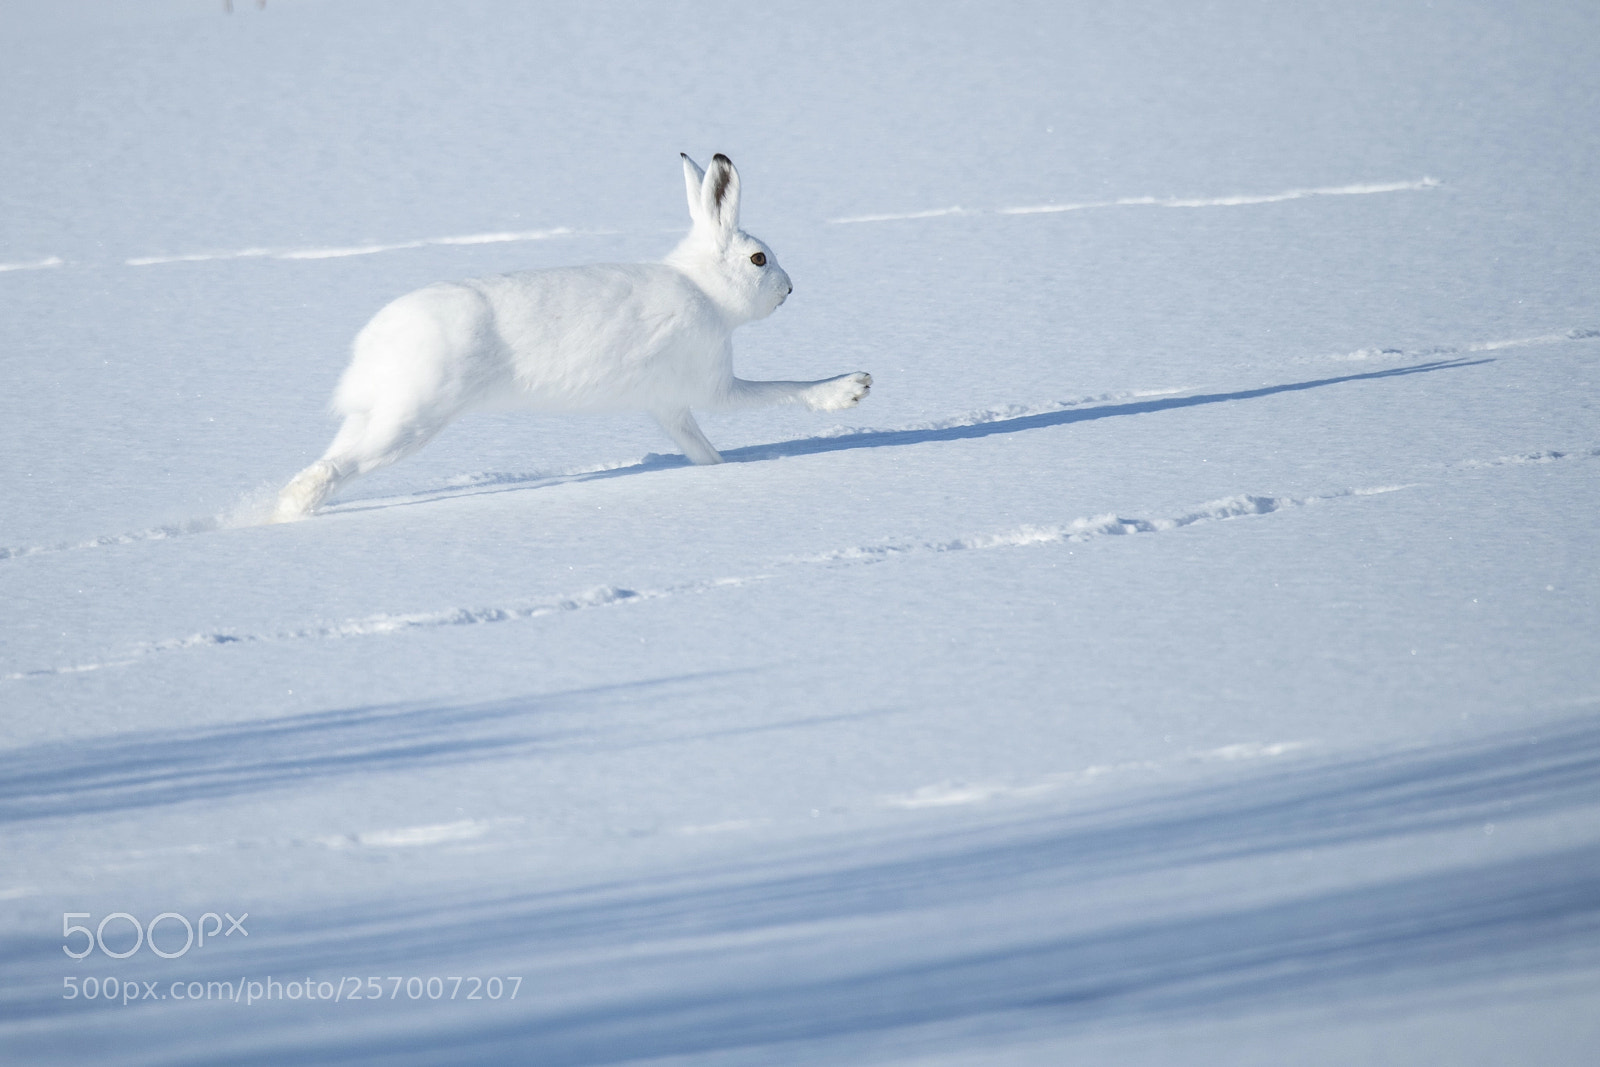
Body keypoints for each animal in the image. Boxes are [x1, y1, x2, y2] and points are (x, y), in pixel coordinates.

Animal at [270, 152, 871, 522]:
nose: (789, 289)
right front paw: (851, 388)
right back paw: (290, 512)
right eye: (758, 259)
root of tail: (372, 347)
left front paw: (721, 471)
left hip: (380, 413)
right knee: (335, 467)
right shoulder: (710, 384)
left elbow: (699, 448)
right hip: (417, 412)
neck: (704, 290)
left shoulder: (669, 406)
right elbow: (778, 390)